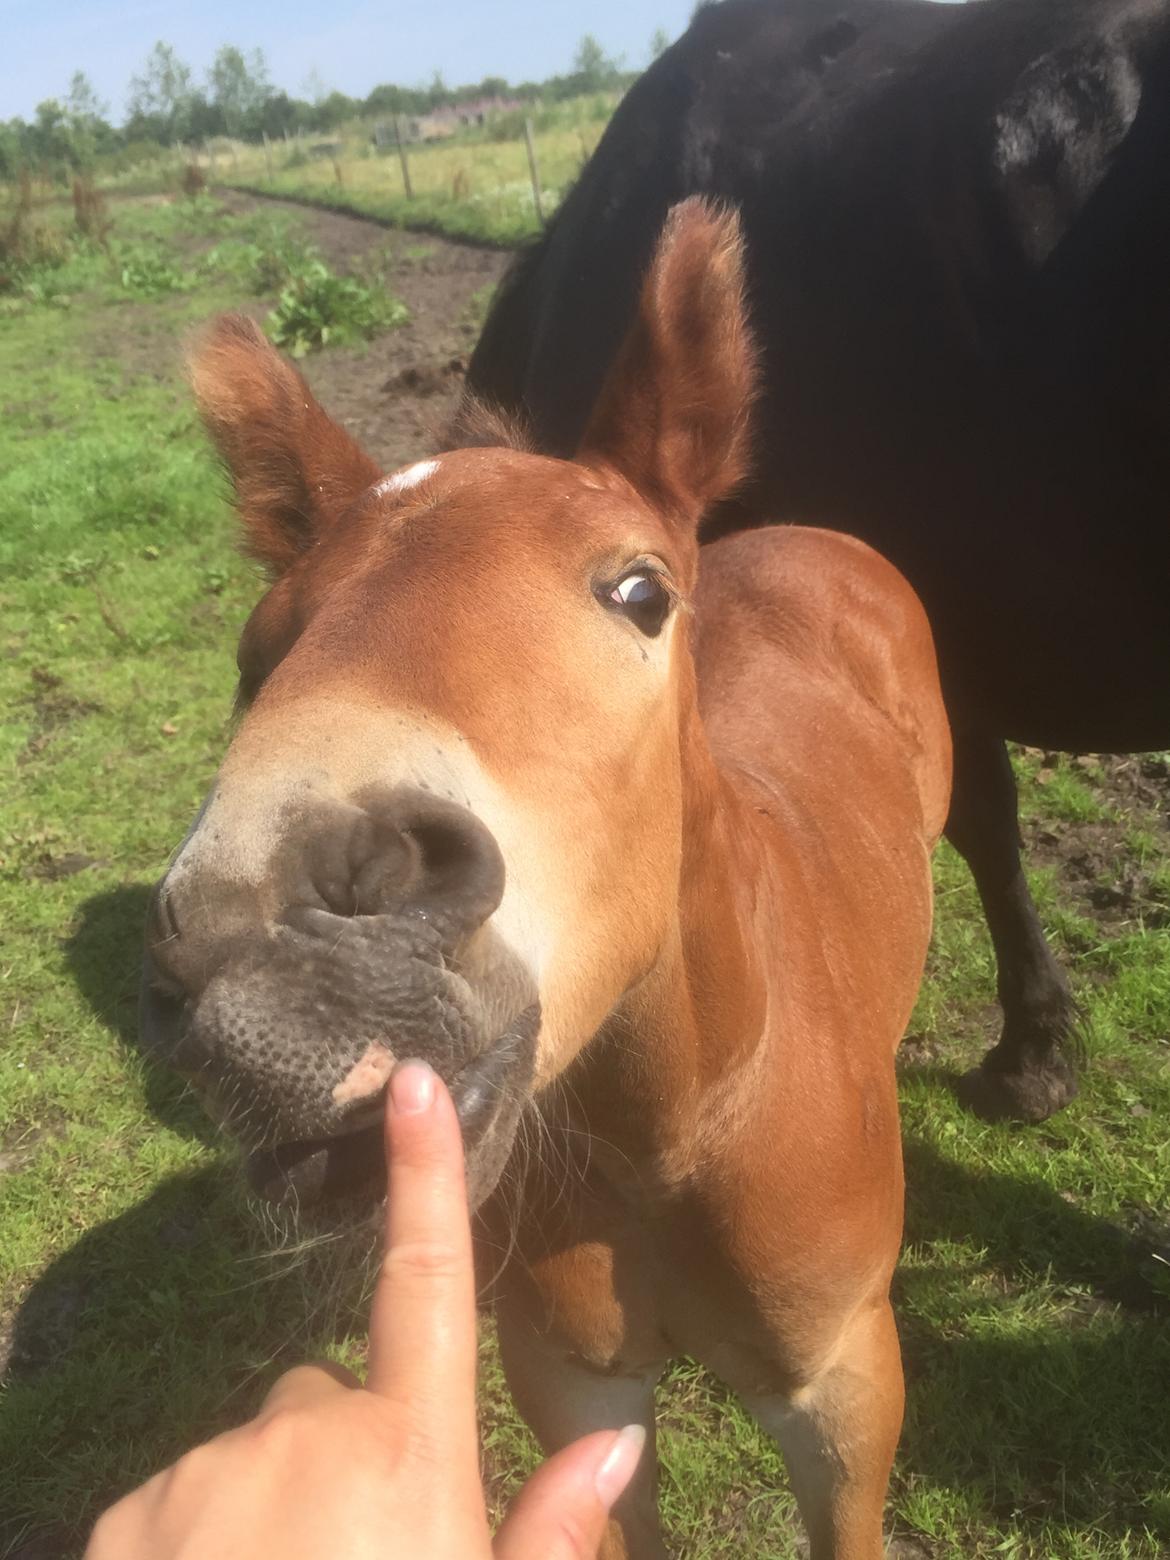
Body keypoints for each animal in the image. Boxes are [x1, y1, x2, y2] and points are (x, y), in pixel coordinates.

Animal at [144, 201, 954, 1553]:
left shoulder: (847, 1389)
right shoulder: (578, 1386)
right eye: (258, 655)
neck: (674, 1131)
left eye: (640, 593)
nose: (276, 939)